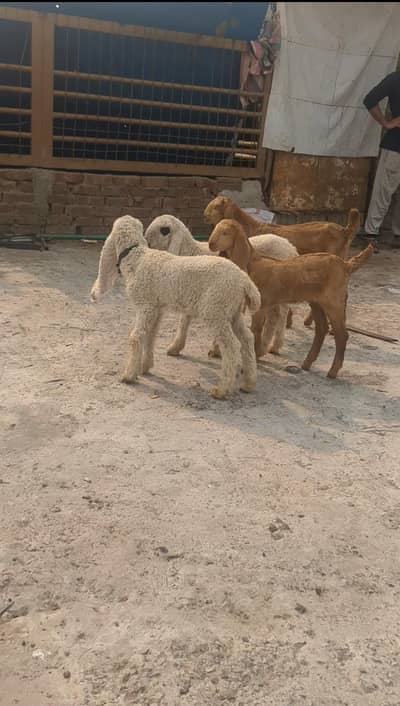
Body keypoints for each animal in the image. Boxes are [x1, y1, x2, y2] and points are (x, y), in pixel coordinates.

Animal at [90, 216, 261, 399]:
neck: (137, 258)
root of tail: (245, 281)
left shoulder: (145, 306)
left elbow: (137, 337)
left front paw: (129, 375)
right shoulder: (156, 309)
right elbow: (151, 336)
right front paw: (144, 367)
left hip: (216, 309)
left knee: (232, 345)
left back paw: (222, 390)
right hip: (233, 311)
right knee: (247, 338)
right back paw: (249, 383)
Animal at [145, 214, 298, 354]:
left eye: (164, 230)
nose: (147, 243)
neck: (190, 251)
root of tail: (291, 247)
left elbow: (183, 320)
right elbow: (185, 320)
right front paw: (177, 347)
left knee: (279, 315)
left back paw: (270, 346)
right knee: (277, 314)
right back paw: (269, 346)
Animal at [208, 219, 373, 379]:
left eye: (225, 232)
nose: (211, 244)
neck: (252, 263)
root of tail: (346, 265)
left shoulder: (261, 304)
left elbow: (256, 330)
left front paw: (253, 358)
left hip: (334, 301)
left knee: (341, 335)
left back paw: (332, 372)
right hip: (317, 302)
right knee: (322, 329)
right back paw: (307, 364)